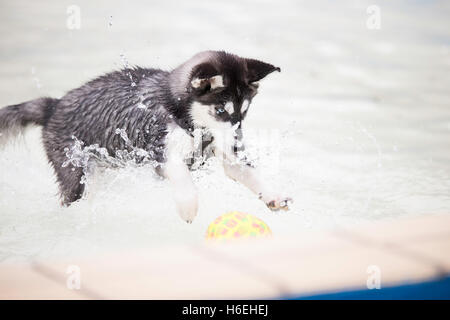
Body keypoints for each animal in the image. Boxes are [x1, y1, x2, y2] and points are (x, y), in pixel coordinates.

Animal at [0, 52, 292, 222]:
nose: (236, 144)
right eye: (220, 110)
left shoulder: (225, 149)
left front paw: (273, 196)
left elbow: (248, 173)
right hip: (75, 173)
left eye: (244, 111)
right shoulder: (161, 153)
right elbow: (182, 177)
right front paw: (188, 205)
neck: (185, 117)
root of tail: (54, 105)